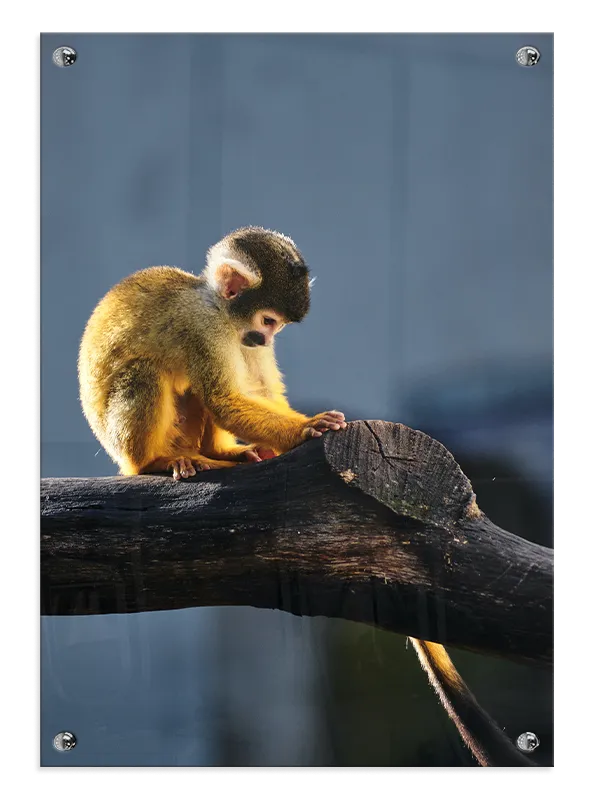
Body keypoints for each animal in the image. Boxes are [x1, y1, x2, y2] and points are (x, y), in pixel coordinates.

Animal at [78, 226, 346, 481]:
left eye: (278, 326)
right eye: (268, 321)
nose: (267, 340)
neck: (219, 308)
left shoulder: (245, 337)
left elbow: (259, 389)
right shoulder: (205, 326)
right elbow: (221, 399)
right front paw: (306, 427)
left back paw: (217, 452)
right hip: (123, 443)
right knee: (144, 372)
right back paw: (152, 462)